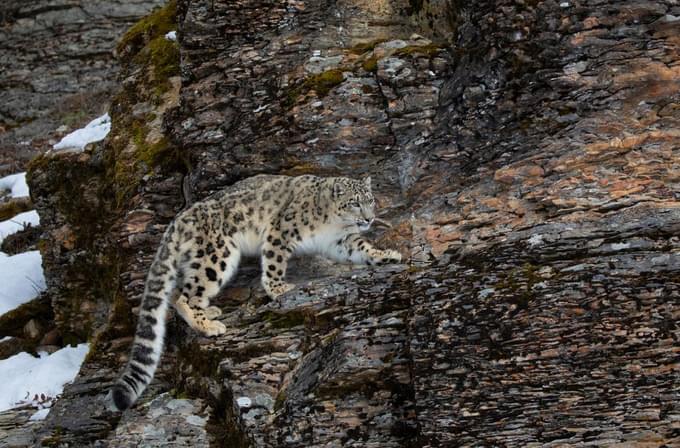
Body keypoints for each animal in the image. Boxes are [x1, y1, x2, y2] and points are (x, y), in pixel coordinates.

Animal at [109, 173, 402, 412]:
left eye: (370, 200)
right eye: (354, 202)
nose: (369, 218)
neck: (334, 225)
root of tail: (181, 217)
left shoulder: (342, 241)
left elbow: (363, 247)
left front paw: (388, 255)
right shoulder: (281, 232)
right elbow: (274, 262)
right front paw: (278, 288)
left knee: (177, 291)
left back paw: (209, 311)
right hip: (217, 254)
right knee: (185, 295)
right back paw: (208, 325)